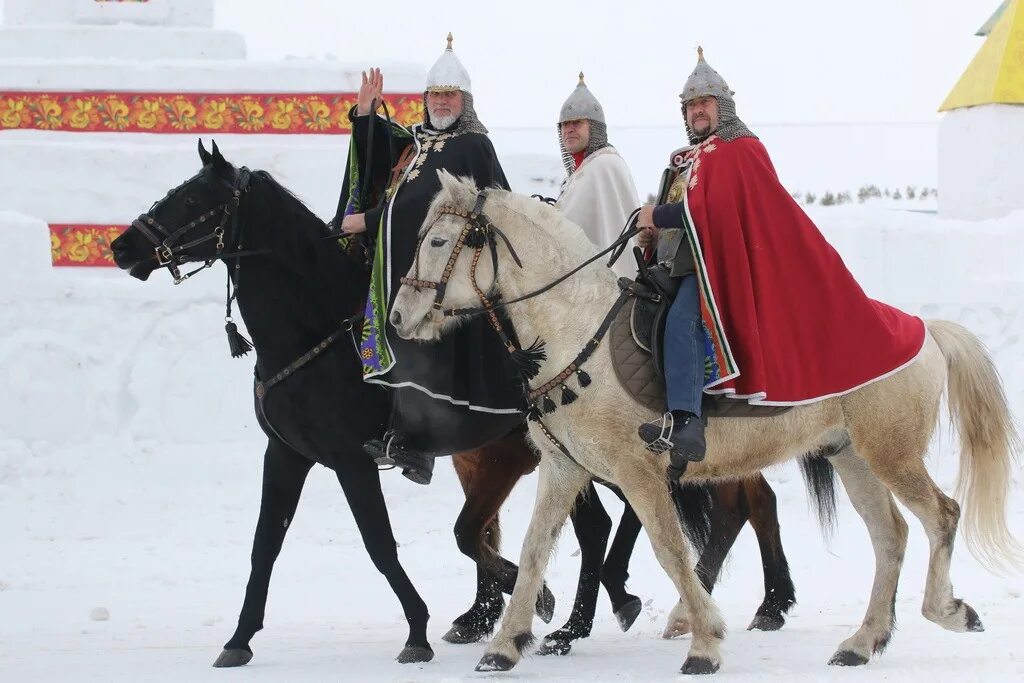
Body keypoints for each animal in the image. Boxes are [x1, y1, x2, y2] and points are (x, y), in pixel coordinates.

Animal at [387, 171, 1019, 671]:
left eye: (438, 240)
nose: (397, 318)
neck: (574, 329)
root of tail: (924, 330)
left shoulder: (638, 473)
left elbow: (670, 549)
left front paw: (705, 644)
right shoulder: (565, 470)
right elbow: (537, 545)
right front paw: (506, 643)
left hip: (890, 453)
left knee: (942, 515)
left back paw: (948, 610)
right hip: (851, 455)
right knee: (890, 535)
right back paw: (863, 642)